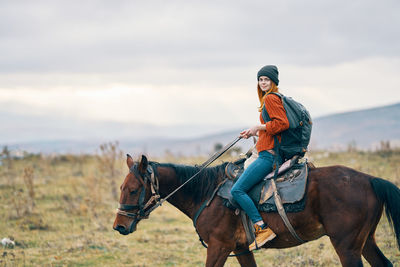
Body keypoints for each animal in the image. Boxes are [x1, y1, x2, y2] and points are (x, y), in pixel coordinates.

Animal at [112, 155, 400, 267]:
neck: (206, 194)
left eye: (134, 190)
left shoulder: (219, 247)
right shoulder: (241, 249)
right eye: (121, 187)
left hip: (346, 246)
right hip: (365, 242)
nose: (119, 226)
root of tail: (370, 179)